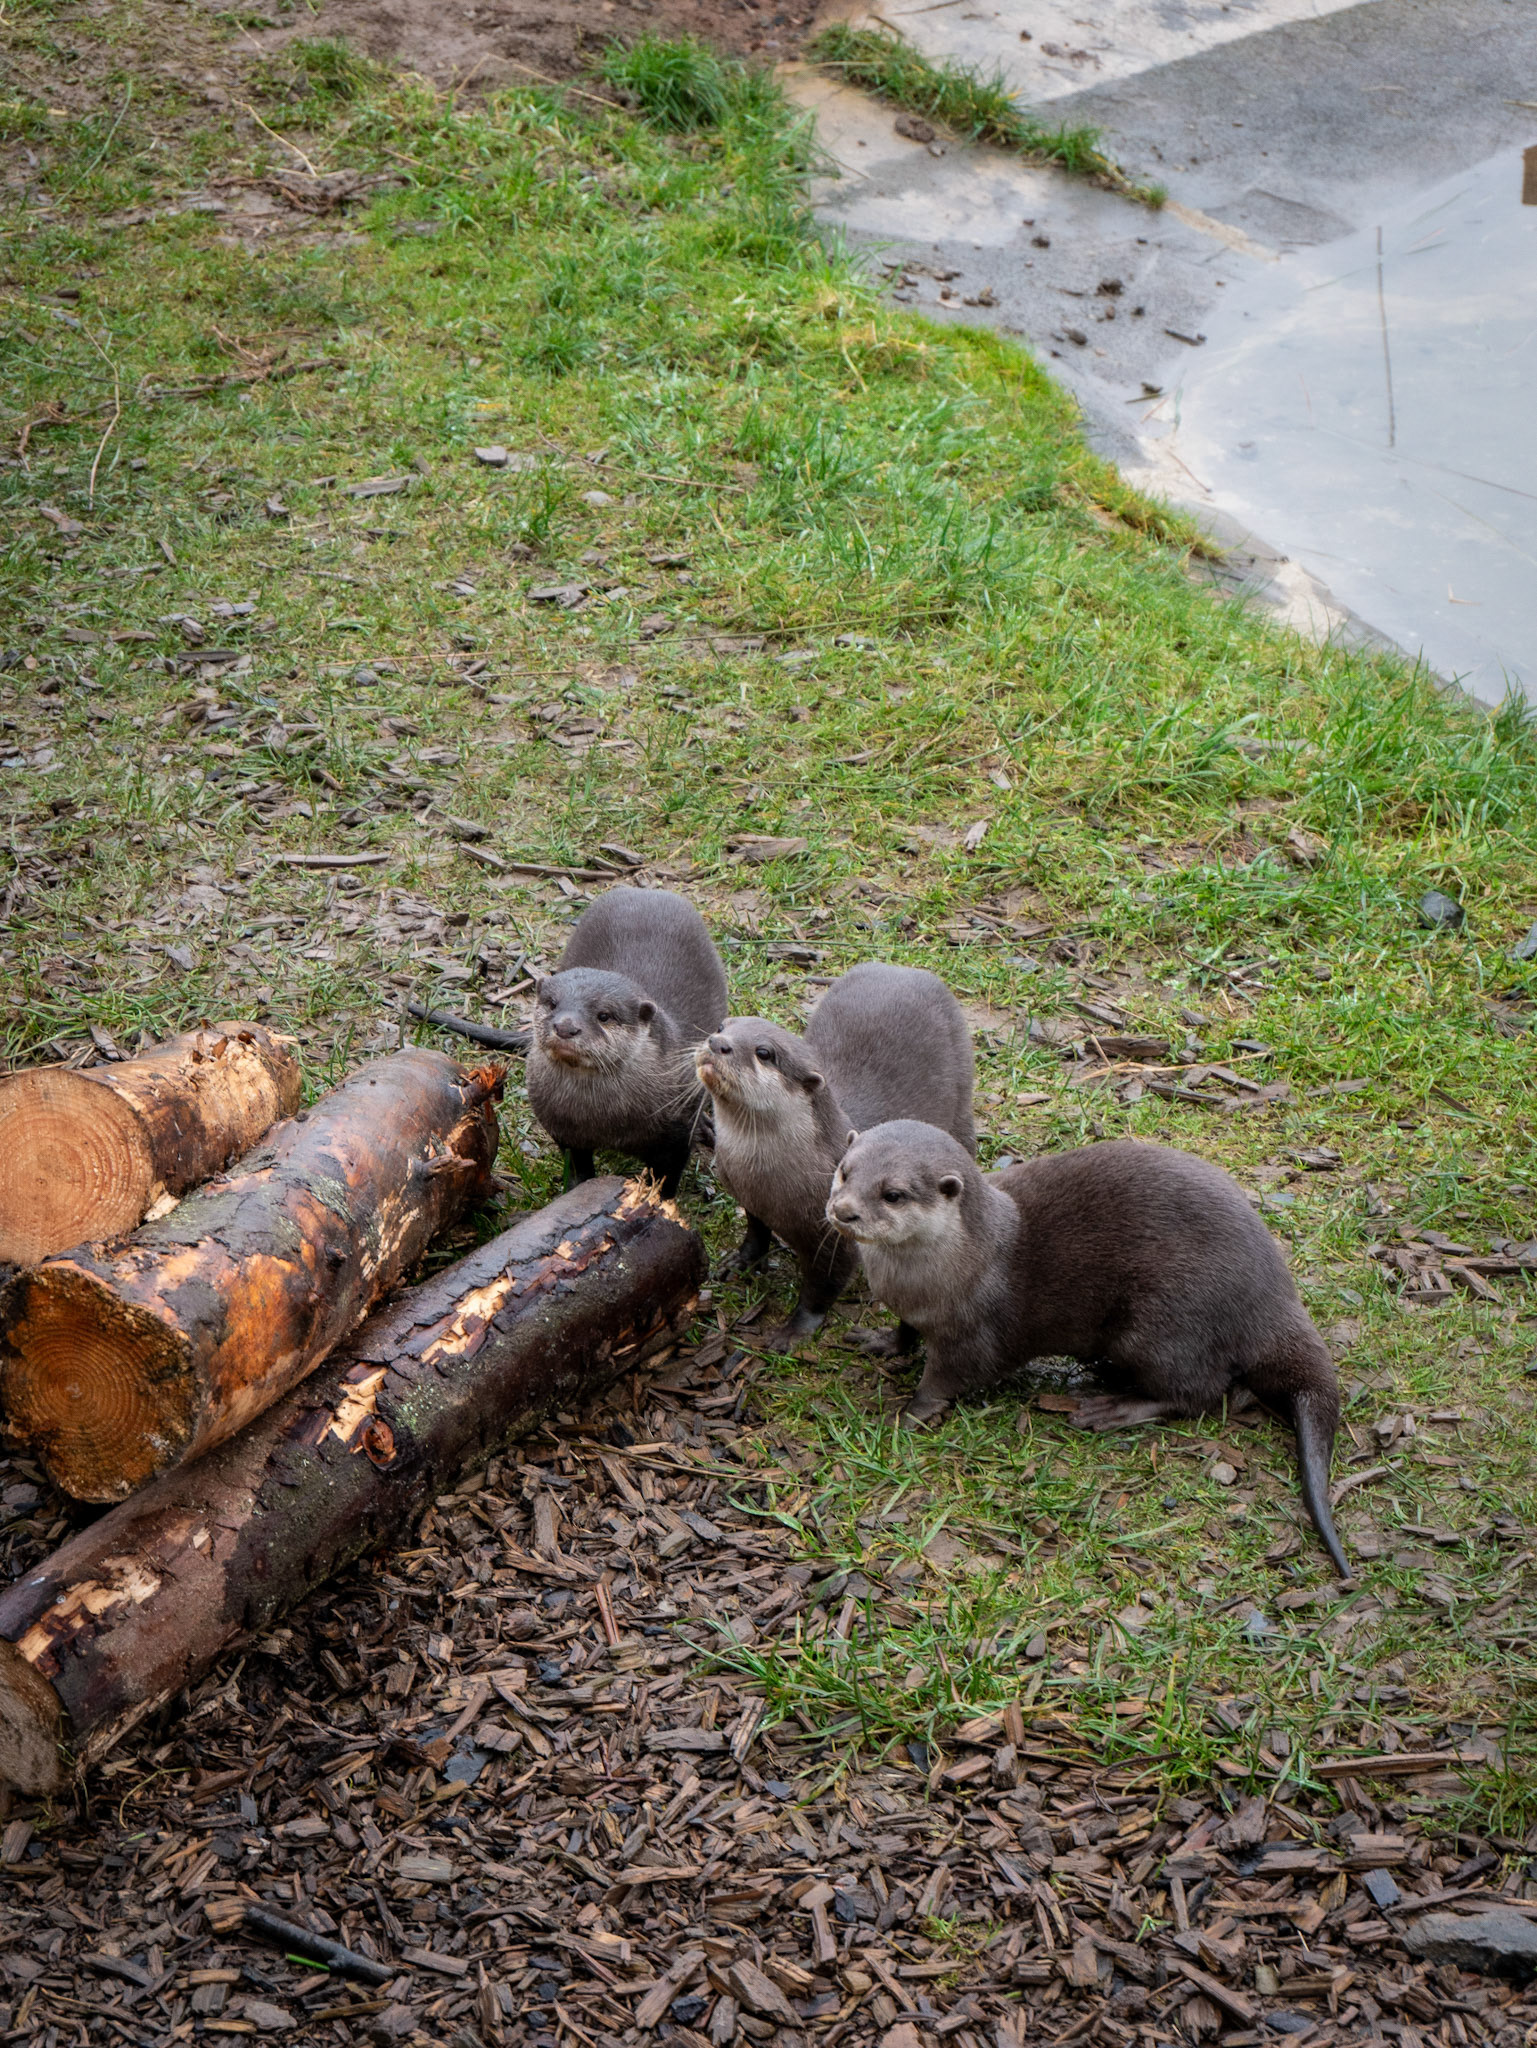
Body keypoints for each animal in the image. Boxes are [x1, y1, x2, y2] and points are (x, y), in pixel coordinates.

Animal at [526, 887, 728, 1196]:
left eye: (604, 1015)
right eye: (552, 1003)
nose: (565, 1027)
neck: (605, 1122)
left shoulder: (676, 1133)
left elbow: (667, 1176)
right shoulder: (562, 1128)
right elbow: (576, 1163)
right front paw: (576, 1188)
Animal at [696, 963, 974, 1348]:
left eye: (764, 1053)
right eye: (722, 1027)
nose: (716, 1043)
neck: (766, 1181)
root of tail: (903, 967)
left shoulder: (835, 1239)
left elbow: (822, 1286)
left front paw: (793, 1330)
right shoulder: (750, 1199)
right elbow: (756, 1232)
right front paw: (739, 1262)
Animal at [826, 1122, 1349, 1577]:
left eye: (893, 1194)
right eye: (845, 1170)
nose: (843, 1210)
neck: (947, 1270)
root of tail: (1273, 1293)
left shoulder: (973, 1334)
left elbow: (949, 1377)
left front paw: (907, 1413)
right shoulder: (910, 1308)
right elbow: (904, 1332)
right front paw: (881, 1342)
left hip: (1162, 1324)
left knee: (1199, 1393)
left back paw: (1113, 1408)